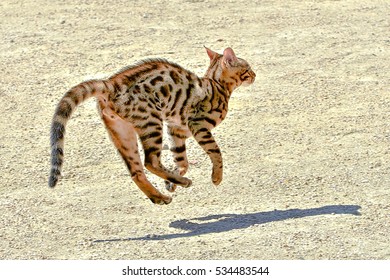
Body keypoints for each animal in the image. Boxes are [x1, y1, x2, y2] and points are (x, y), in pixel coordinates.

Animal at [48, 47, 256, 205]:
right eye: (248, 68)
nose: (255, 74)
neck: (217, 85)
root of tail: (111, 83)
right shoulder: (197, 125)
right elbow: (215, 153)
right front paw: (216, 177)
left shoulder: (176, 129)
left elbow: (182, 160)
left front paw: (171, 182)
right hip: (151, 123)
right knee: (150, 161)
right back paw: (182, 183)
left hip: (123, 133)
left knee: (136, 171)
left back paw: (161, 196)